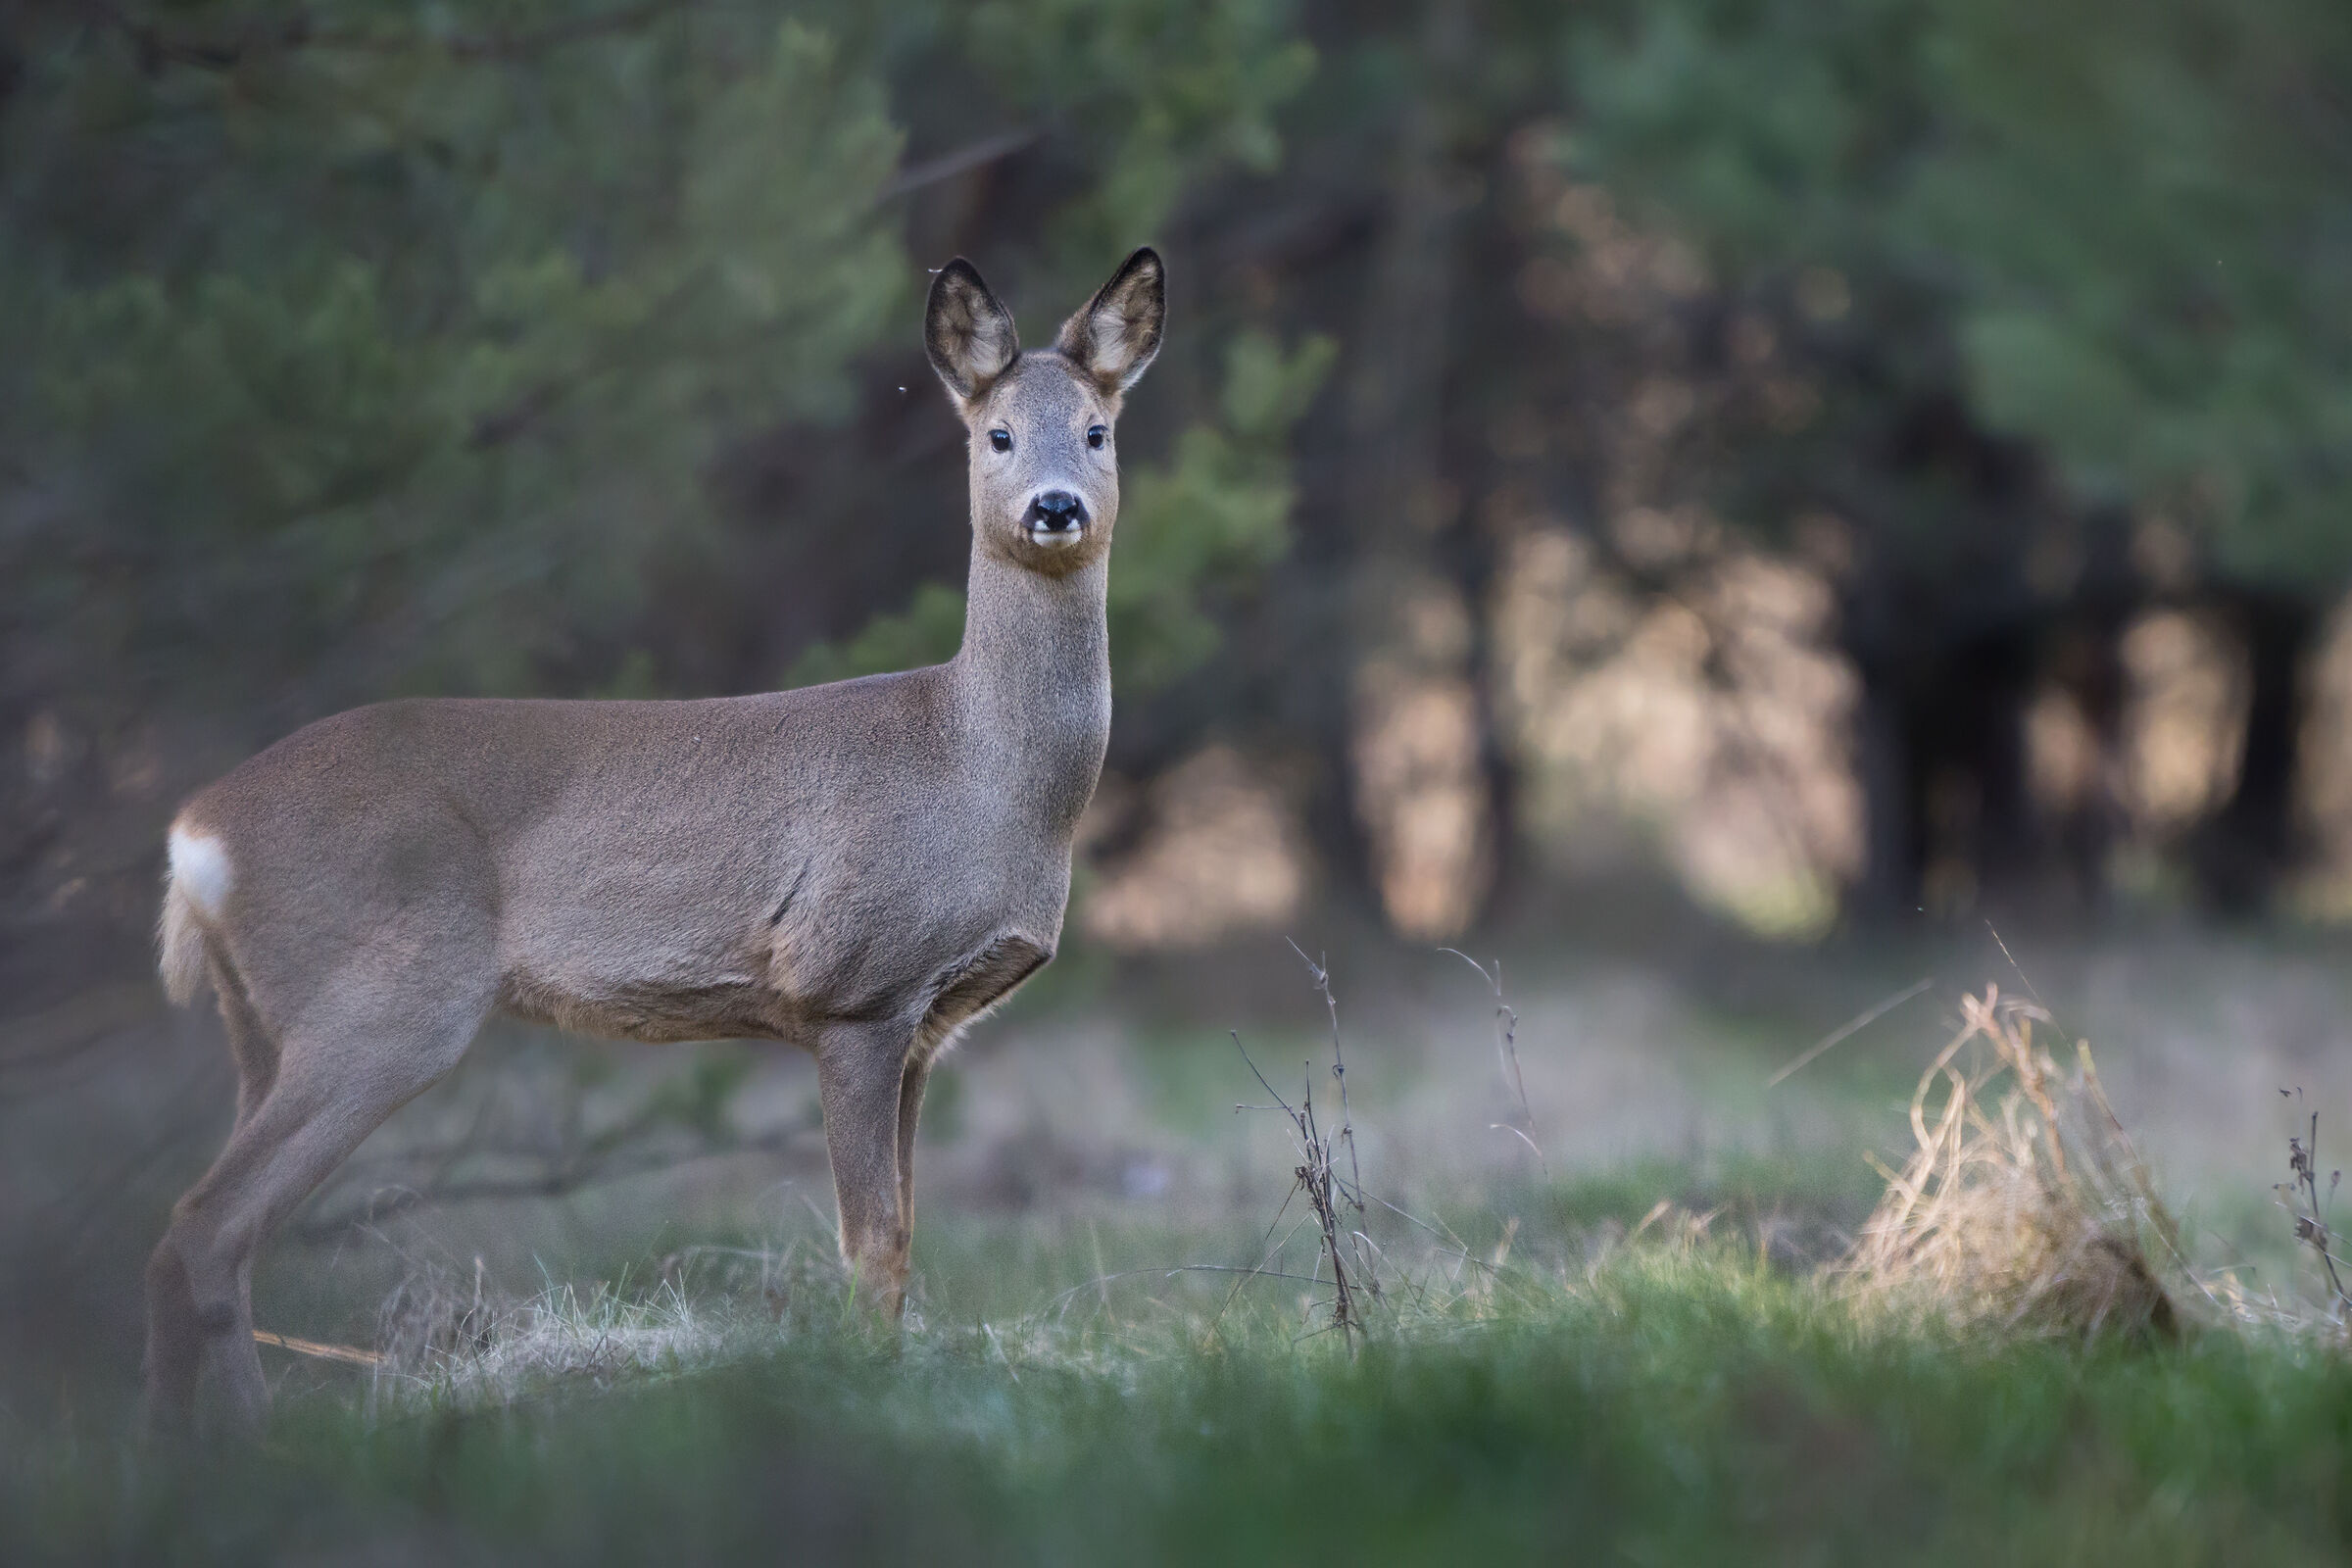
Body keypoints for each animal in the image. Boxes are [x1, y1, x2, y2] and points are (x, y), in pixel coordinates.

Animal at [142, 248, 1165, 1432]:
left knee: (199, 1233)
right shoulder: (853, 988)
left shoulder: (925, 1030)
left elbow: (904, 1240)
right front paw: (865, 1397)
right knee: (206, 1225)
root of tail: (194, 834)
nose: (1056, 506)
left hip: (260, 1021)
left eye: (1097, 430)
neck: (979, 770)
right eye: (996, 434)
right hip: (381, 999)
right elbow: (871, 1244)